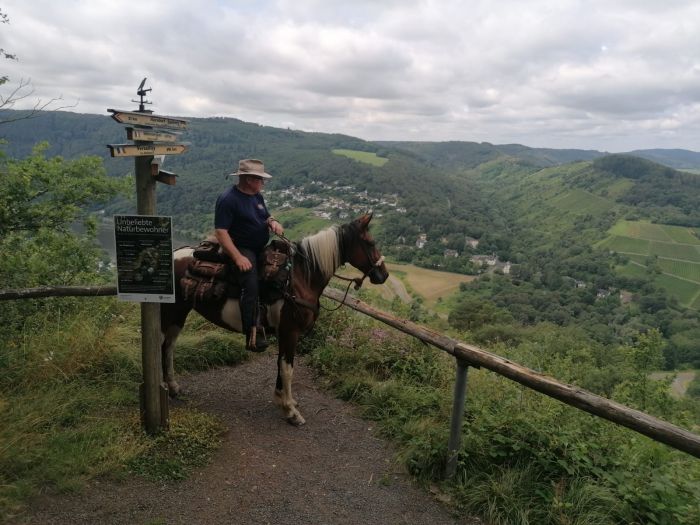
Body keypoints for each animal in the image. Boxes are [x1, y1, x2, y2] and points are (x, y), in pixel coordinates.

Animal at [159, 211, 388, 424]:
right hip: (168, 313)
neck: (300, 278)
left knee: (168, 347)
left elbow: (281, 364)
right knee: (161, 345)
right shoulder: (290, 332)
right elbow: (288, 369)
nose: (384, 275)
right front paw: (290, 411)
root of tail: (174, 254)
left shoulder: (284, 333)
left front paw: (283, 399)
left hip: (179, 315)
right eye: (370, 242)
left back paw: (173, 387)